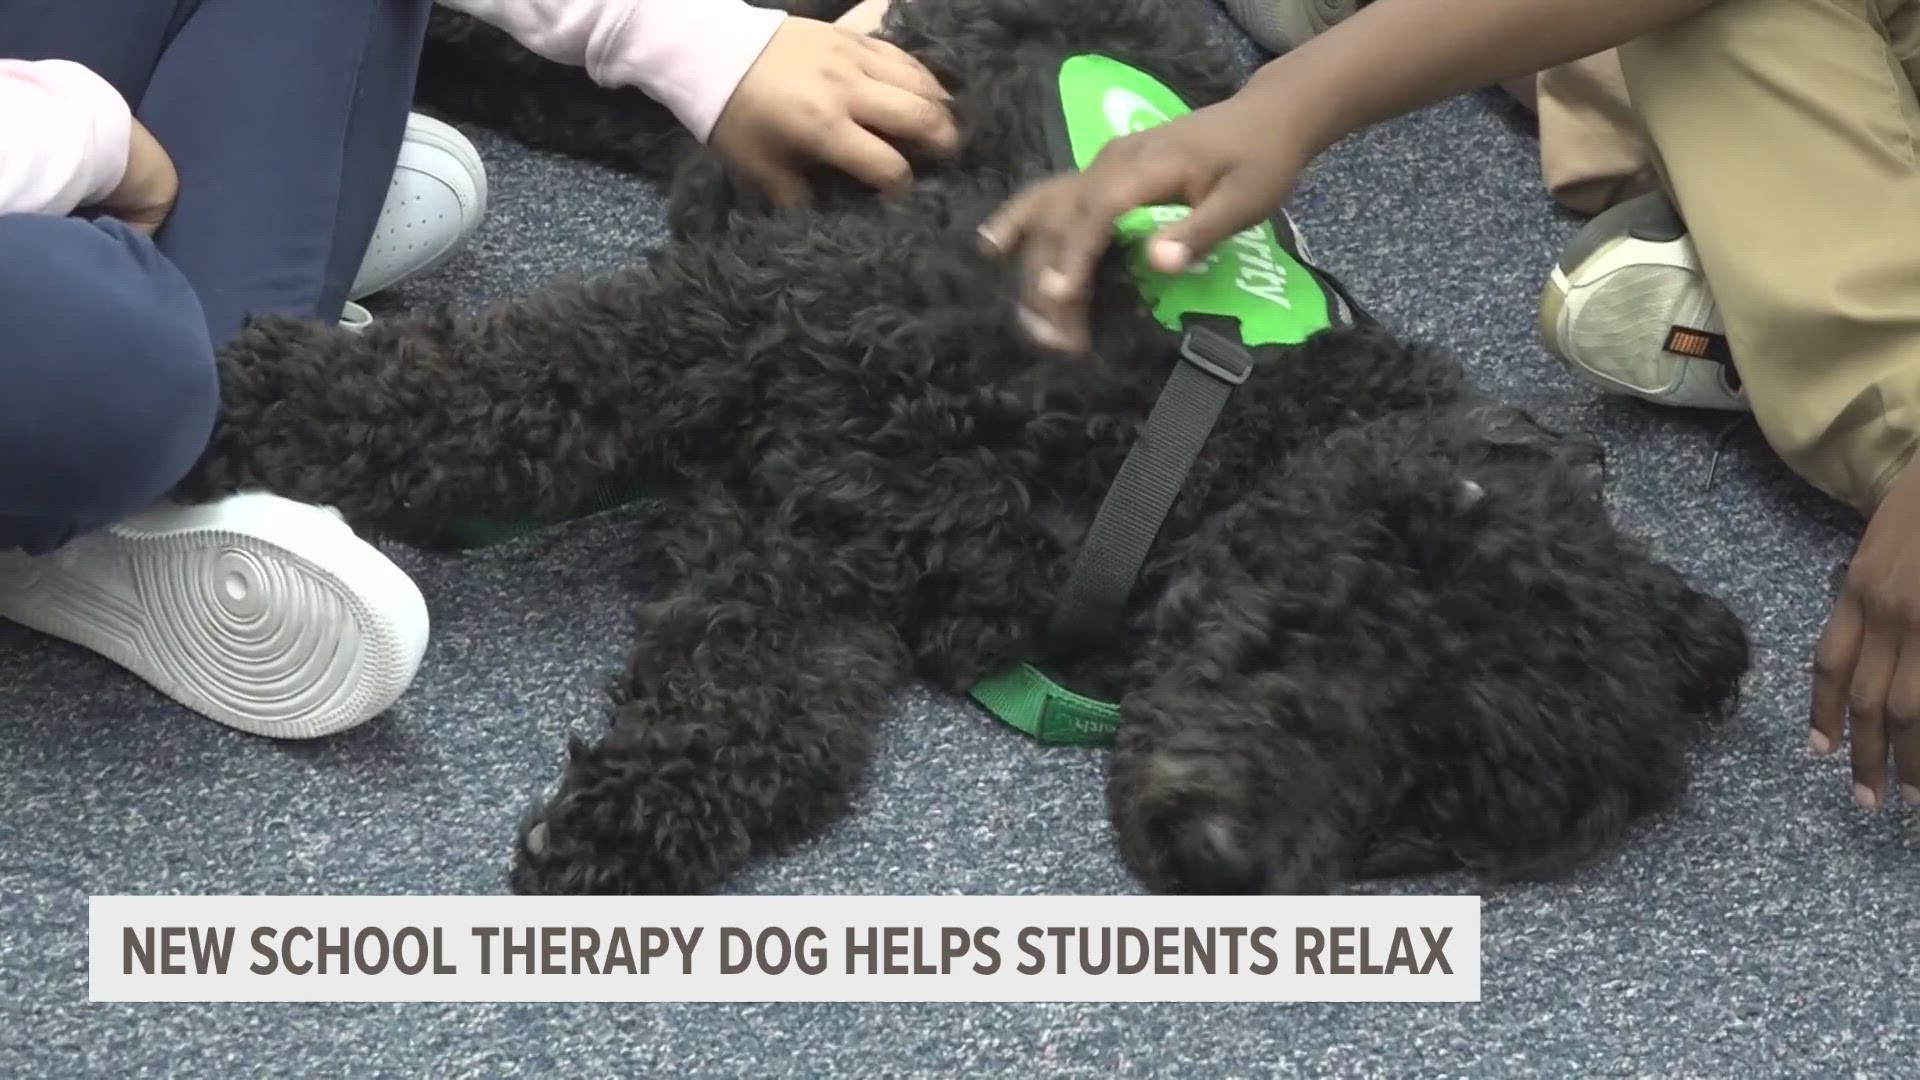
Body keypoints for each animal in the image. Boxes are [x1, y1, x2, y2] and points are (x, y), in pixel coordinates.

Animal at [168, 0, 1758, 895]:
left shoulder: (814, 541)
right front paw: (246, 395)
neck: (1182, 430)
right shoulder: (752, 322)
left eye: (1449, 804)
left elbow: (768, 713)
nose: (1230, 868)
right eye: (1366, 645)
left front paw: (639, 814)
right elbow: (504, 389)